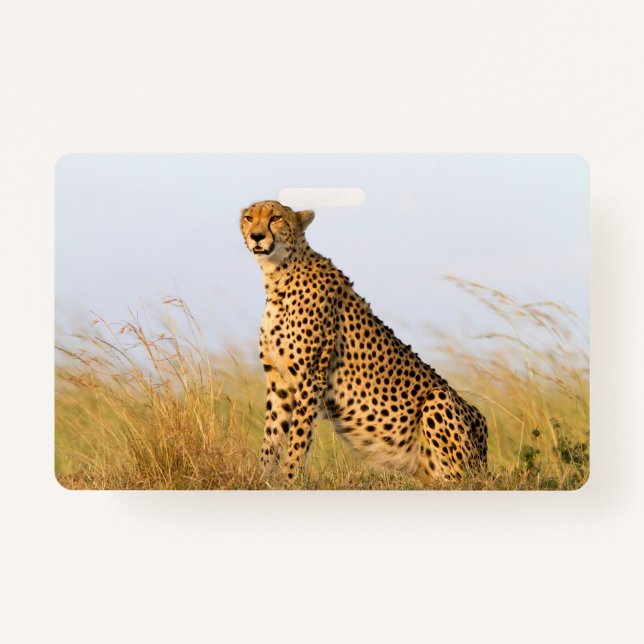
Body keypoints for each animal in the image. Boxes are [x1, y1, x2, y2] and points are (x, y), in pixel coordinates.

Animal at [240, 199, 488, 483]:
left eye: (276, 218)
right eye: (249, 218)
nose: (257, 236)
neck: (279, 275)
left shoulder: (310, 379)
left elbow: (298, 439)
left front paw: (290, 480)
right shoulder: (278, 380)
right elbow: (272, 436)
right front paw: (263, 479)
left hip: (439, 401)